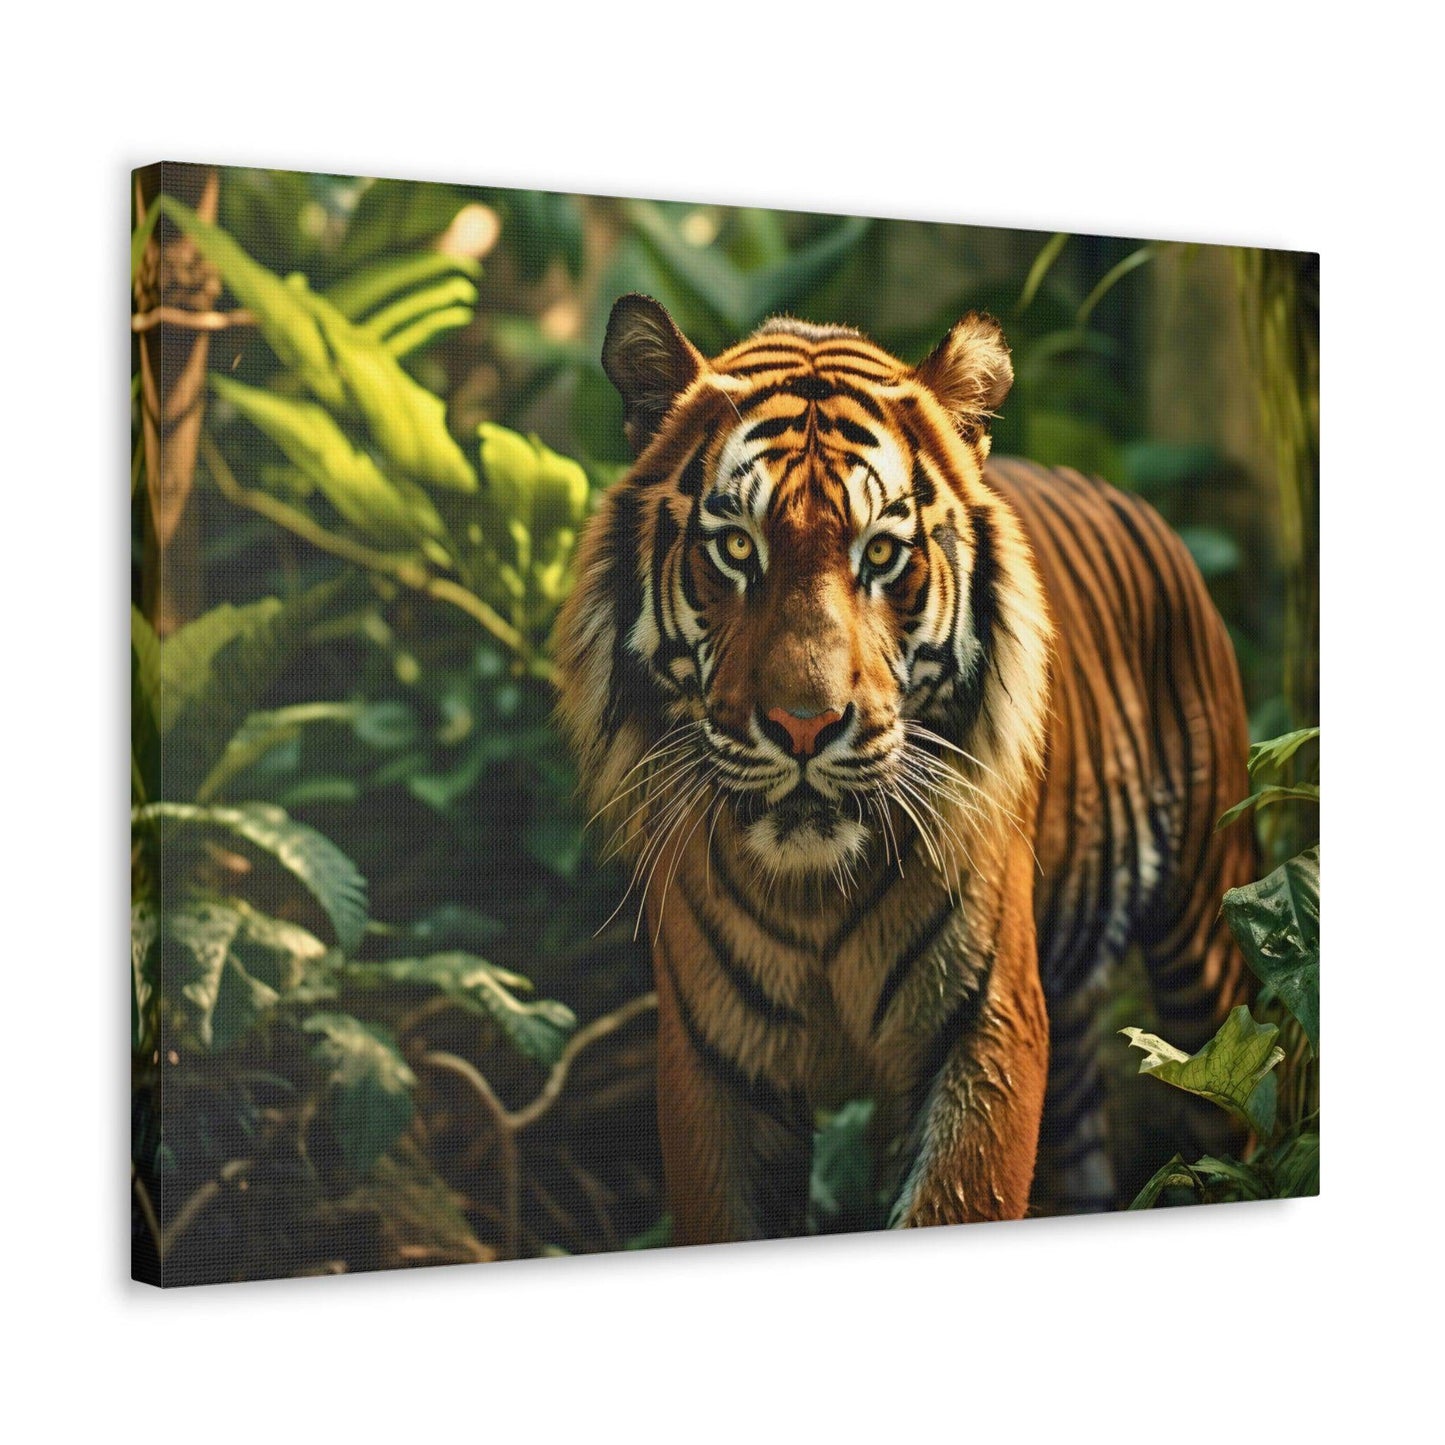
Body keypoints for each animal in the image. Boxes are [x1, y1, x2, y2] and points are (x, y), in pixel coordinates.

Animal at [552, 294, 1255, 1243]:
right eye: (735, 548)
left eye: (880, 555)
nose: (804, 725)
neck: (812, 895)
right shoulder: (713, 1064)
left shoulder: (983, 1030)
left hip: (1208, 941)